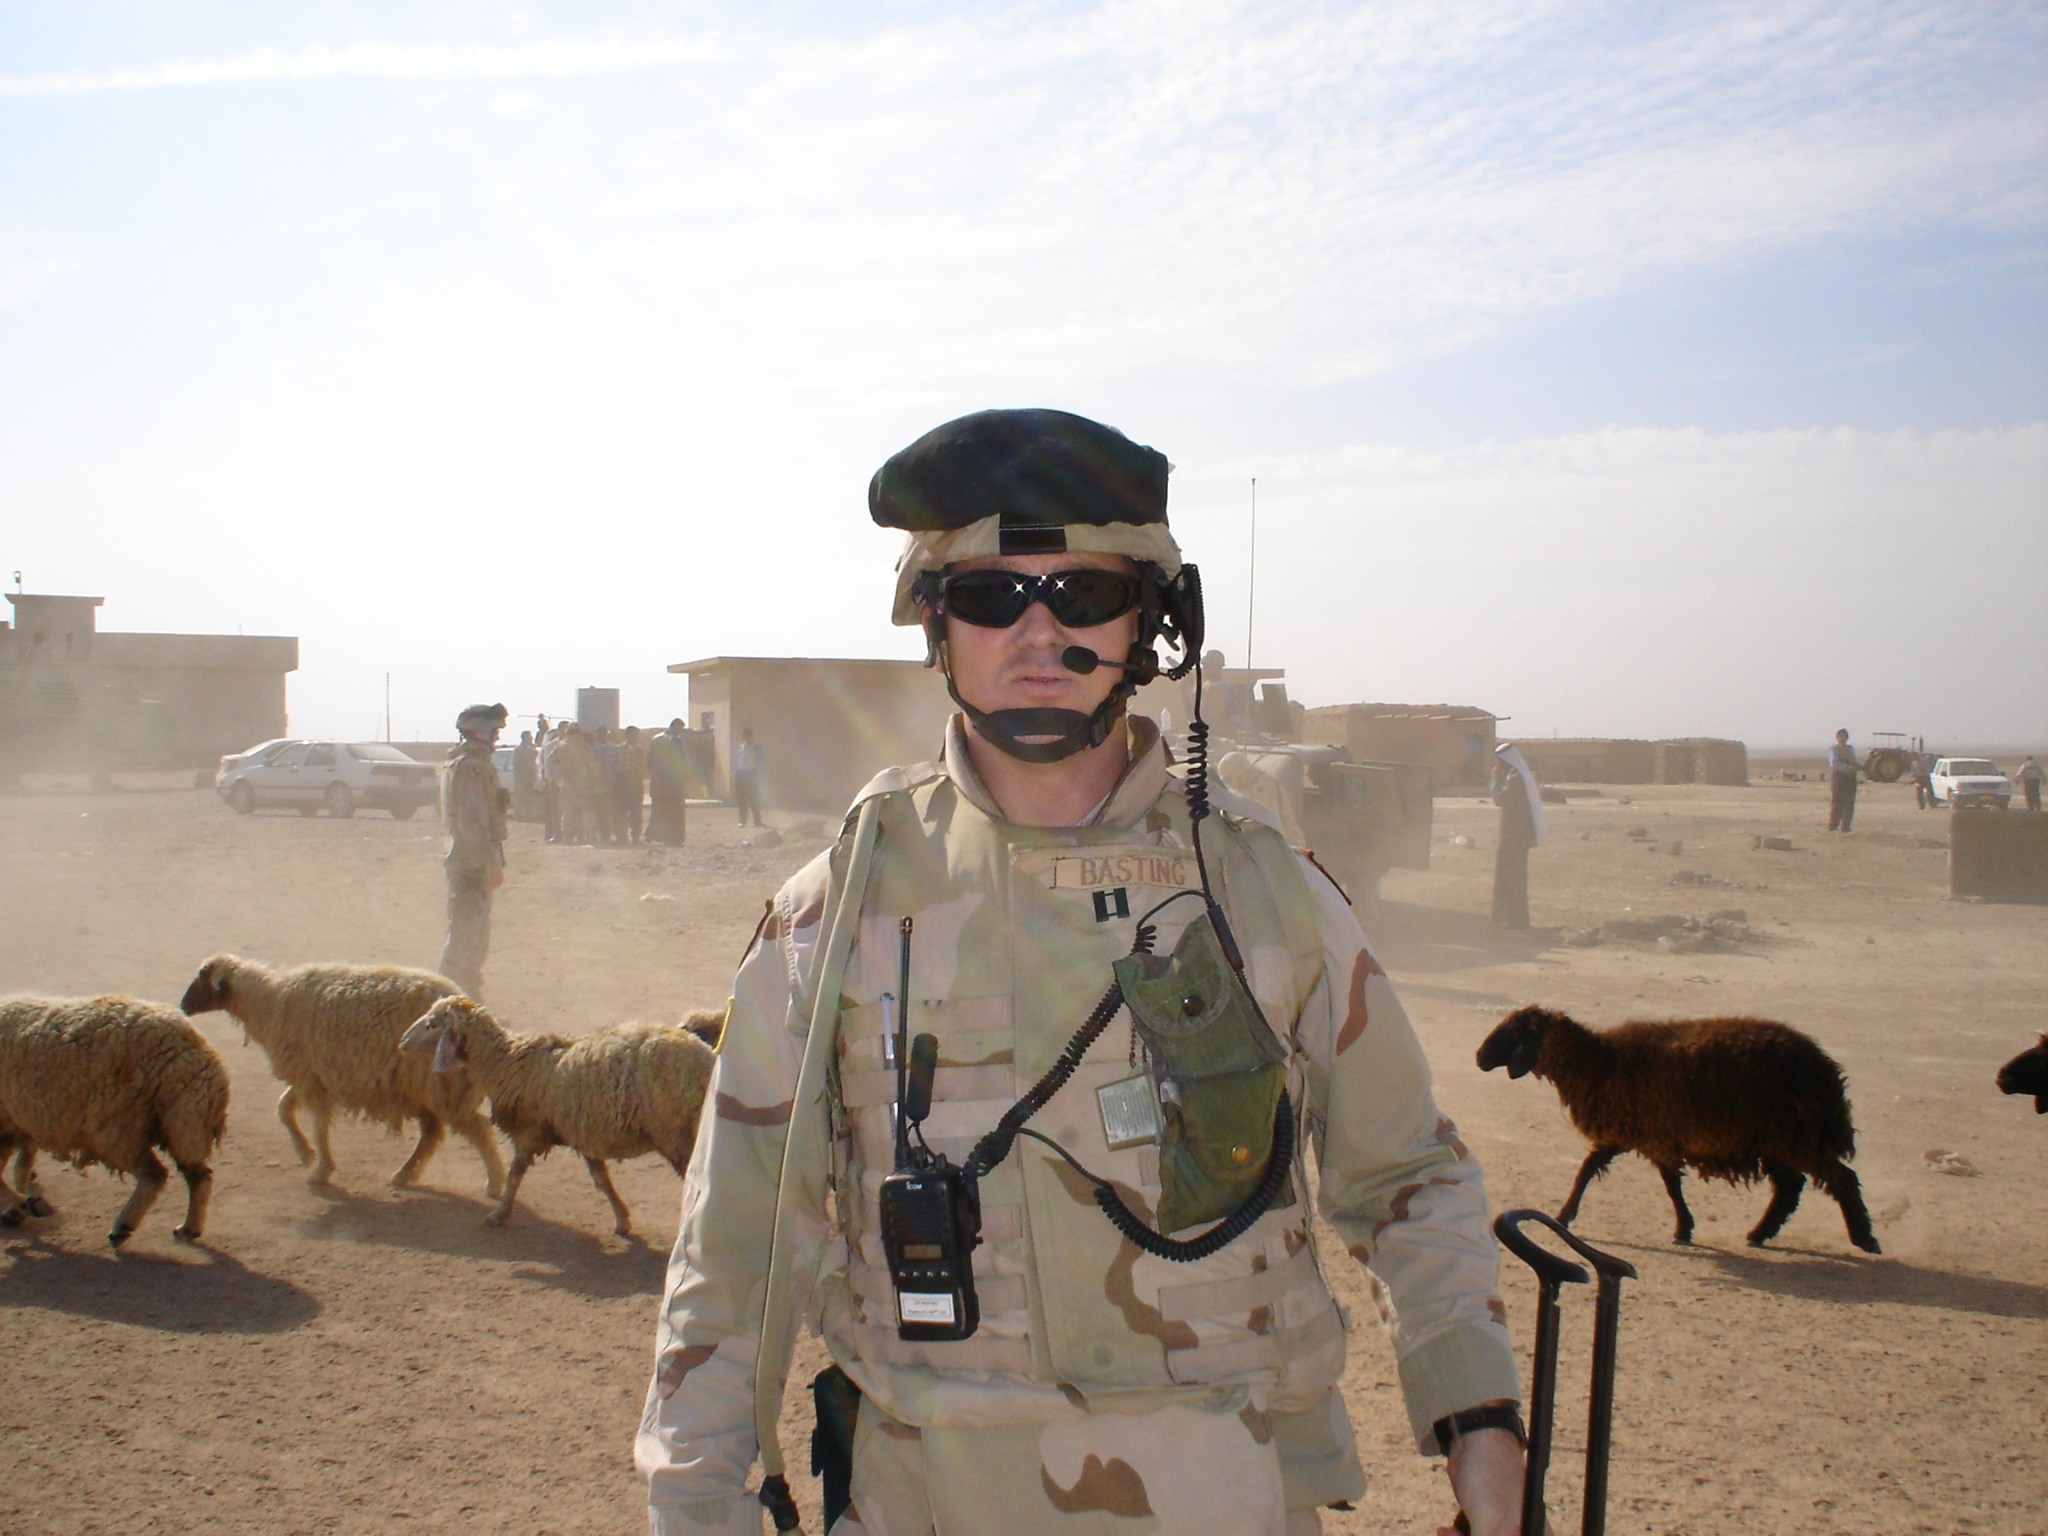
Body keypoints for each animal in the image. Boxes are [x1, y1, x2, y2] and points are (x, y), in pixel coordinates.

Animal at [0, 999, 232, 1253]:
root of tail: (197, 1052)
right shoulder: (24, 1122)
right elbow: (21, 1166)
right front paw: (17, 1209)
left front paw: (22, 1204)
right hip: (181, 1124)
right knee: (199, 1176)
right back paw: (189, 1228)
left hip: (122, 1128)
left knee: (154, 1175)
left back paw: (122, 1227)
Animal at [182, 950, 505, 1204]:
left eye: (202, 977)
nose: (183, 1006)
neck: (271, 1002)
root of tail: (474, 1011)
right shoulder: (310, 1074)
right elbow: (284, 1109)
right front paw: (306, 1154)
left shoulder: (309, 1078)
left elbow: (318, 1127)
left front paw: (320, 1170)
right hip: (426, 1087)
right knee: (432, 1134)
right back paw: (404, 1174)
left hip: (442, 1086)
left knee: (476, 1130)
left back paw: (495, 1183)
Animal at [399, 999, 720, 1236]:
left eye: (431, 1024)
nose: (402, 1041)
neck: (504, 1062)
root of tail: (705, 1060)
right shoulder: (585, 1134)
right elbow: (602, 1181)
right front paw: (622, 1220)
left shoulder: (530, 1132)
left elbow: (515, 1175)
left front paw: (499, 1213)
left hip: (677, 1134)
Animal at [1482, 1003, 1875, 1253]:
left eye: (1511, 1031)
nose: (1479, 1057)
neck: (1600, 1062)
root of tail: (1824, 1069)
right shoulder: (1636, 1134)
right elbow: (1594, 1170)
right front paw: (1565, 1215)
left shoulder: (1652, 1135)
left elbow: (1660, 1185)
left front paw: (1682, 1228)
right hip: (1777, 1140)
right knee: (1789, 1189)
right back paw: (1759, 1233)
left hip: (1796, 1136)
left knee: (1840, 1179)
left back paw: (1865, 1239)